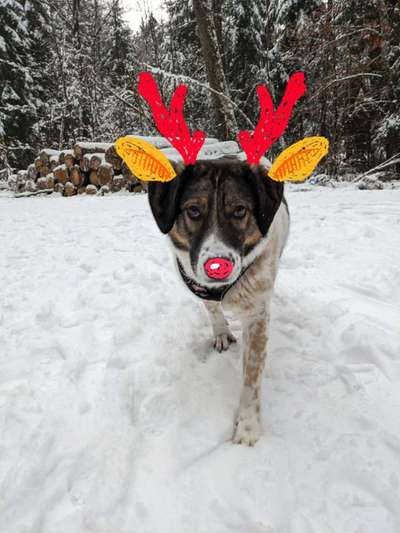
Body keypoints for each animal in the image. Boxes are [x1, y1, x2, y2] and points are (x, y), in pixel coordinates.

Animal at [146, 157, 288, 444]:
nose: (217, 267)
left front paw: (247, 427)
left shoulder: (256, 313)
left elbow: (251, 375)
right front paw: (222, 333)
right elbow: (211, 308)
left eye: (240, 210)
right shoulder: (196, 283)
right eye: (193, 210)